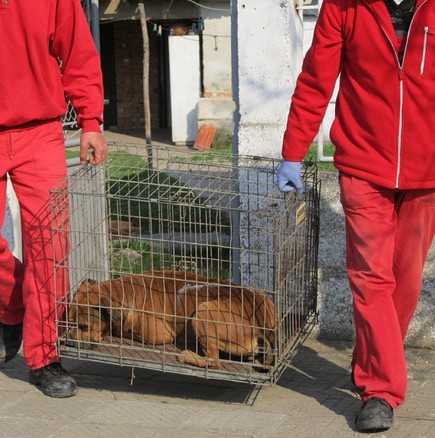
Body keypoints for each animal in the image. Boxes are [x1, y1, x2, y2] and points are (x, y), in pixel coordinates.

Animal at [67, 270, 276, 370]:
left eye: (84, 326)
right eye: (68, 323)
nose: (68, 339)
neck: (122, 293)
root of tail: (262, 323)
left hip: (203, 312)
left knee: (214, 361)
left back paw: (189, 355)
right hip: (266, 299)